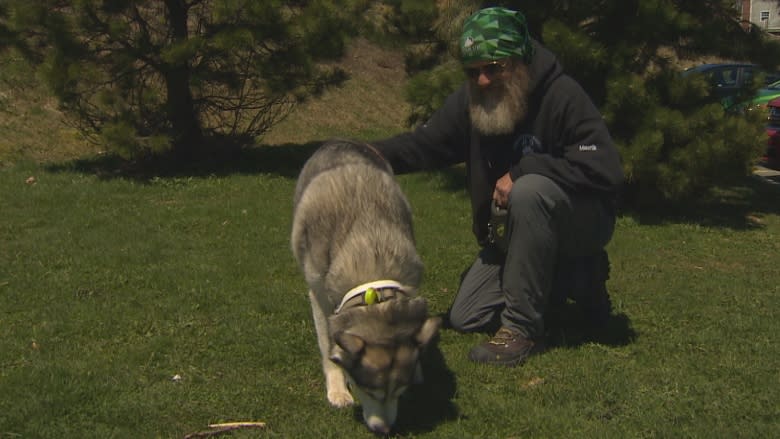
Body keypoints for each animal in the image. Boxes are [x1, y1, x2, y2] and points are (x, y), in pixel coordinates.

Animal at [290, 139, 442, 434]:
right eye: (369, 391)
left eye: (400, 392)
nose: (384, 430)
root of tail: (341, 141)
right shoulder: (319, 297)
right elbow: (328, 346)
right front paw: (337, 389)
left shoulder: (411, 285)